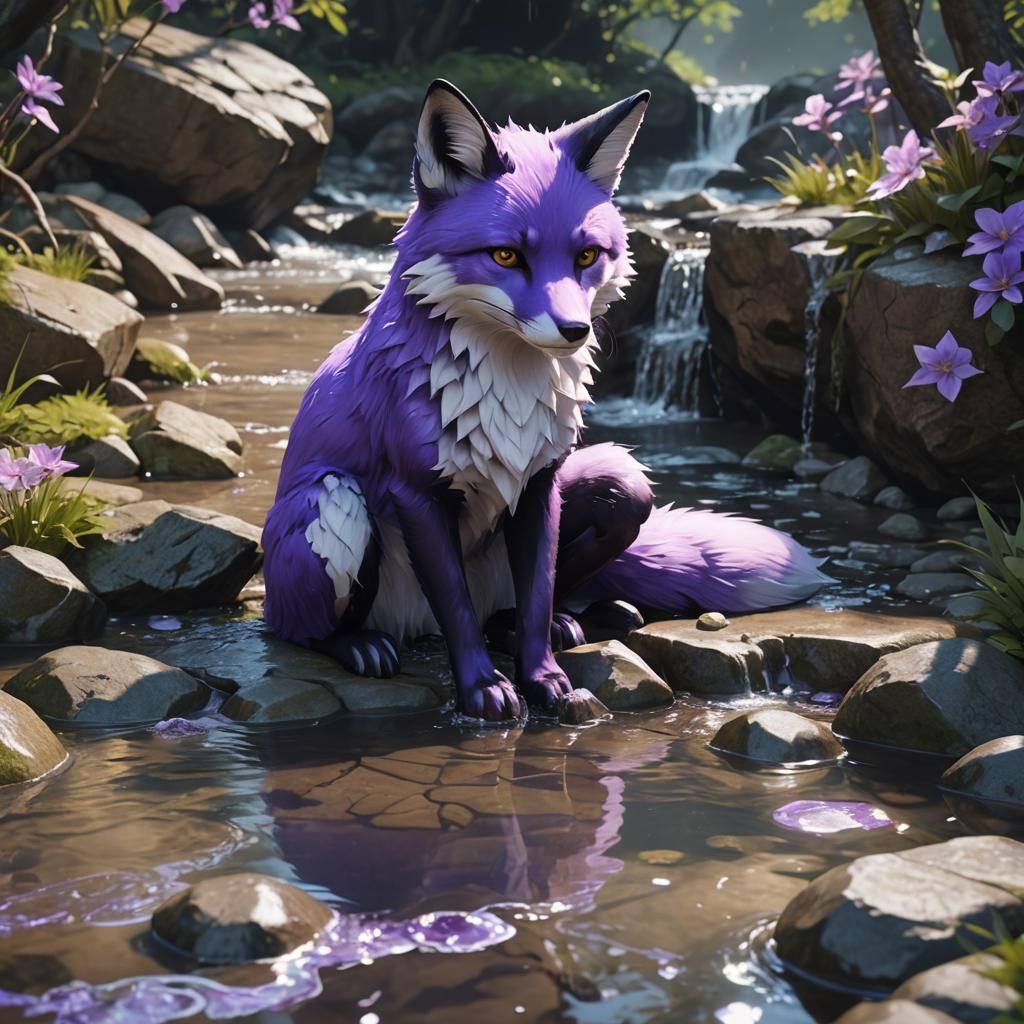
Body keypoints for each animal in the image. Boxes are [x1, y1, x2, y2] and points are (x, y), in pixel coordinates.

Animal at [262, 80, 828, 722]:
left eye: (586, 256)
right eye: (506, 255)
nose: (575, 330)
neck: (507, 397)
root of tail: (414, 627)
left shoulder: (539, 481)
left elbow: (536, 591)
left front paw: (544, 676)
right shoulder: (416, 491)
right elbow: (456, 608)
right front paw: (483, 688)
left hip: (620, 480)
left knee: (531, 595)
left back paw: (563, 621)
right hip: (332, 503)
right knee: (308, 628)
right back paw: (358, 645)